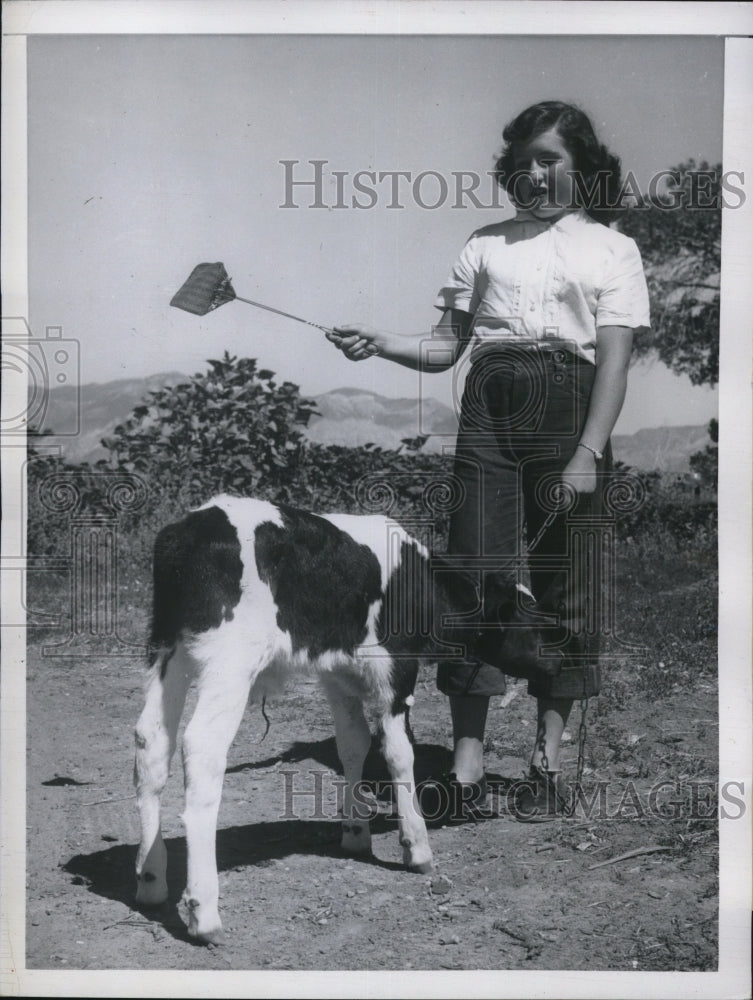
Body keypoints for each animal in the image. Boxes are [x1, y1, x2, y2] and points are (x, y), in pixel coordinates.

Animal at [132, 496, 548, 940]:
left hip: (168, 649)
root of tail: (192, 526)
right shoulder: (397, 668)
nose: (565, 656)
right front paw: (416, 846)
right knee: (202, 748)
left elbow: (354, 744)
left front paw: (355, 831)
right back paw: (204, 911)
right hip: (229, 661)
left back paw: (151, 879)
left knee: (151, 741)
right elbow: (399, 753)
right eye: (532, 623)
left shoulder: (337, 672)